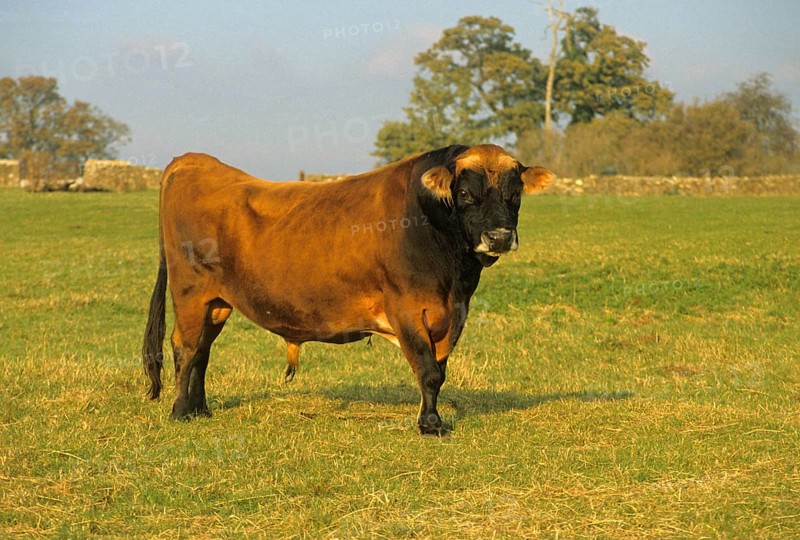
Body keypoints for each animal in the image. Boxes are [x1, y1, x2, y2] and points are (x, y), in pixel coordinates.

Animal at [142, 144, 554, 435]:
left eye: (515, 193)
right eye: (466, 193)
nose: (499, 237)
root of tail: (194, 161)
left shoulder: (452, 315)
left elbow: (437, 370)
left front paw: (430, 418)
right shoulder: (406, 309)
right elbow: (428, 371)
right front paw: (431, 425)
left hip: (217, 301)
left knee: (202, 351)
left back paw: (201, 408)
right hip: (190, 292)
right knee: (185, 348)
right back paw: (181, 411)